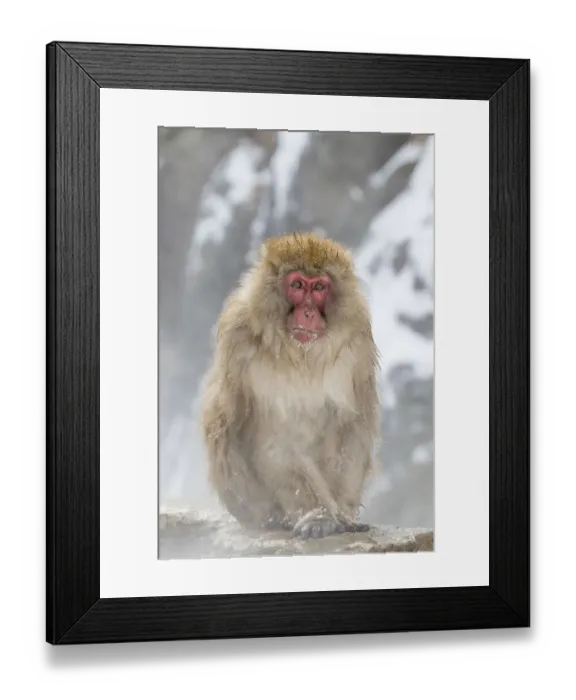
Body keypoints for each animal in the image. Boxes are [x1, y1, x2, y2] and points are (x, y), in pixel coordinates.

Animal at [200, 232, 380, 540]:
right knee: (221, 422)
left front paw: (342, 515)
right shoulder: (239, 341)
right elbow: (275, 441)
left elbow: (350, 428)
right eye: (297, 285)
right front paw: (318, 515)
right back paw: (274, 519)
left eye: (319, 287)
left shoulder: (357, 346)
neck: (300, 355)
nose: (307, 312)